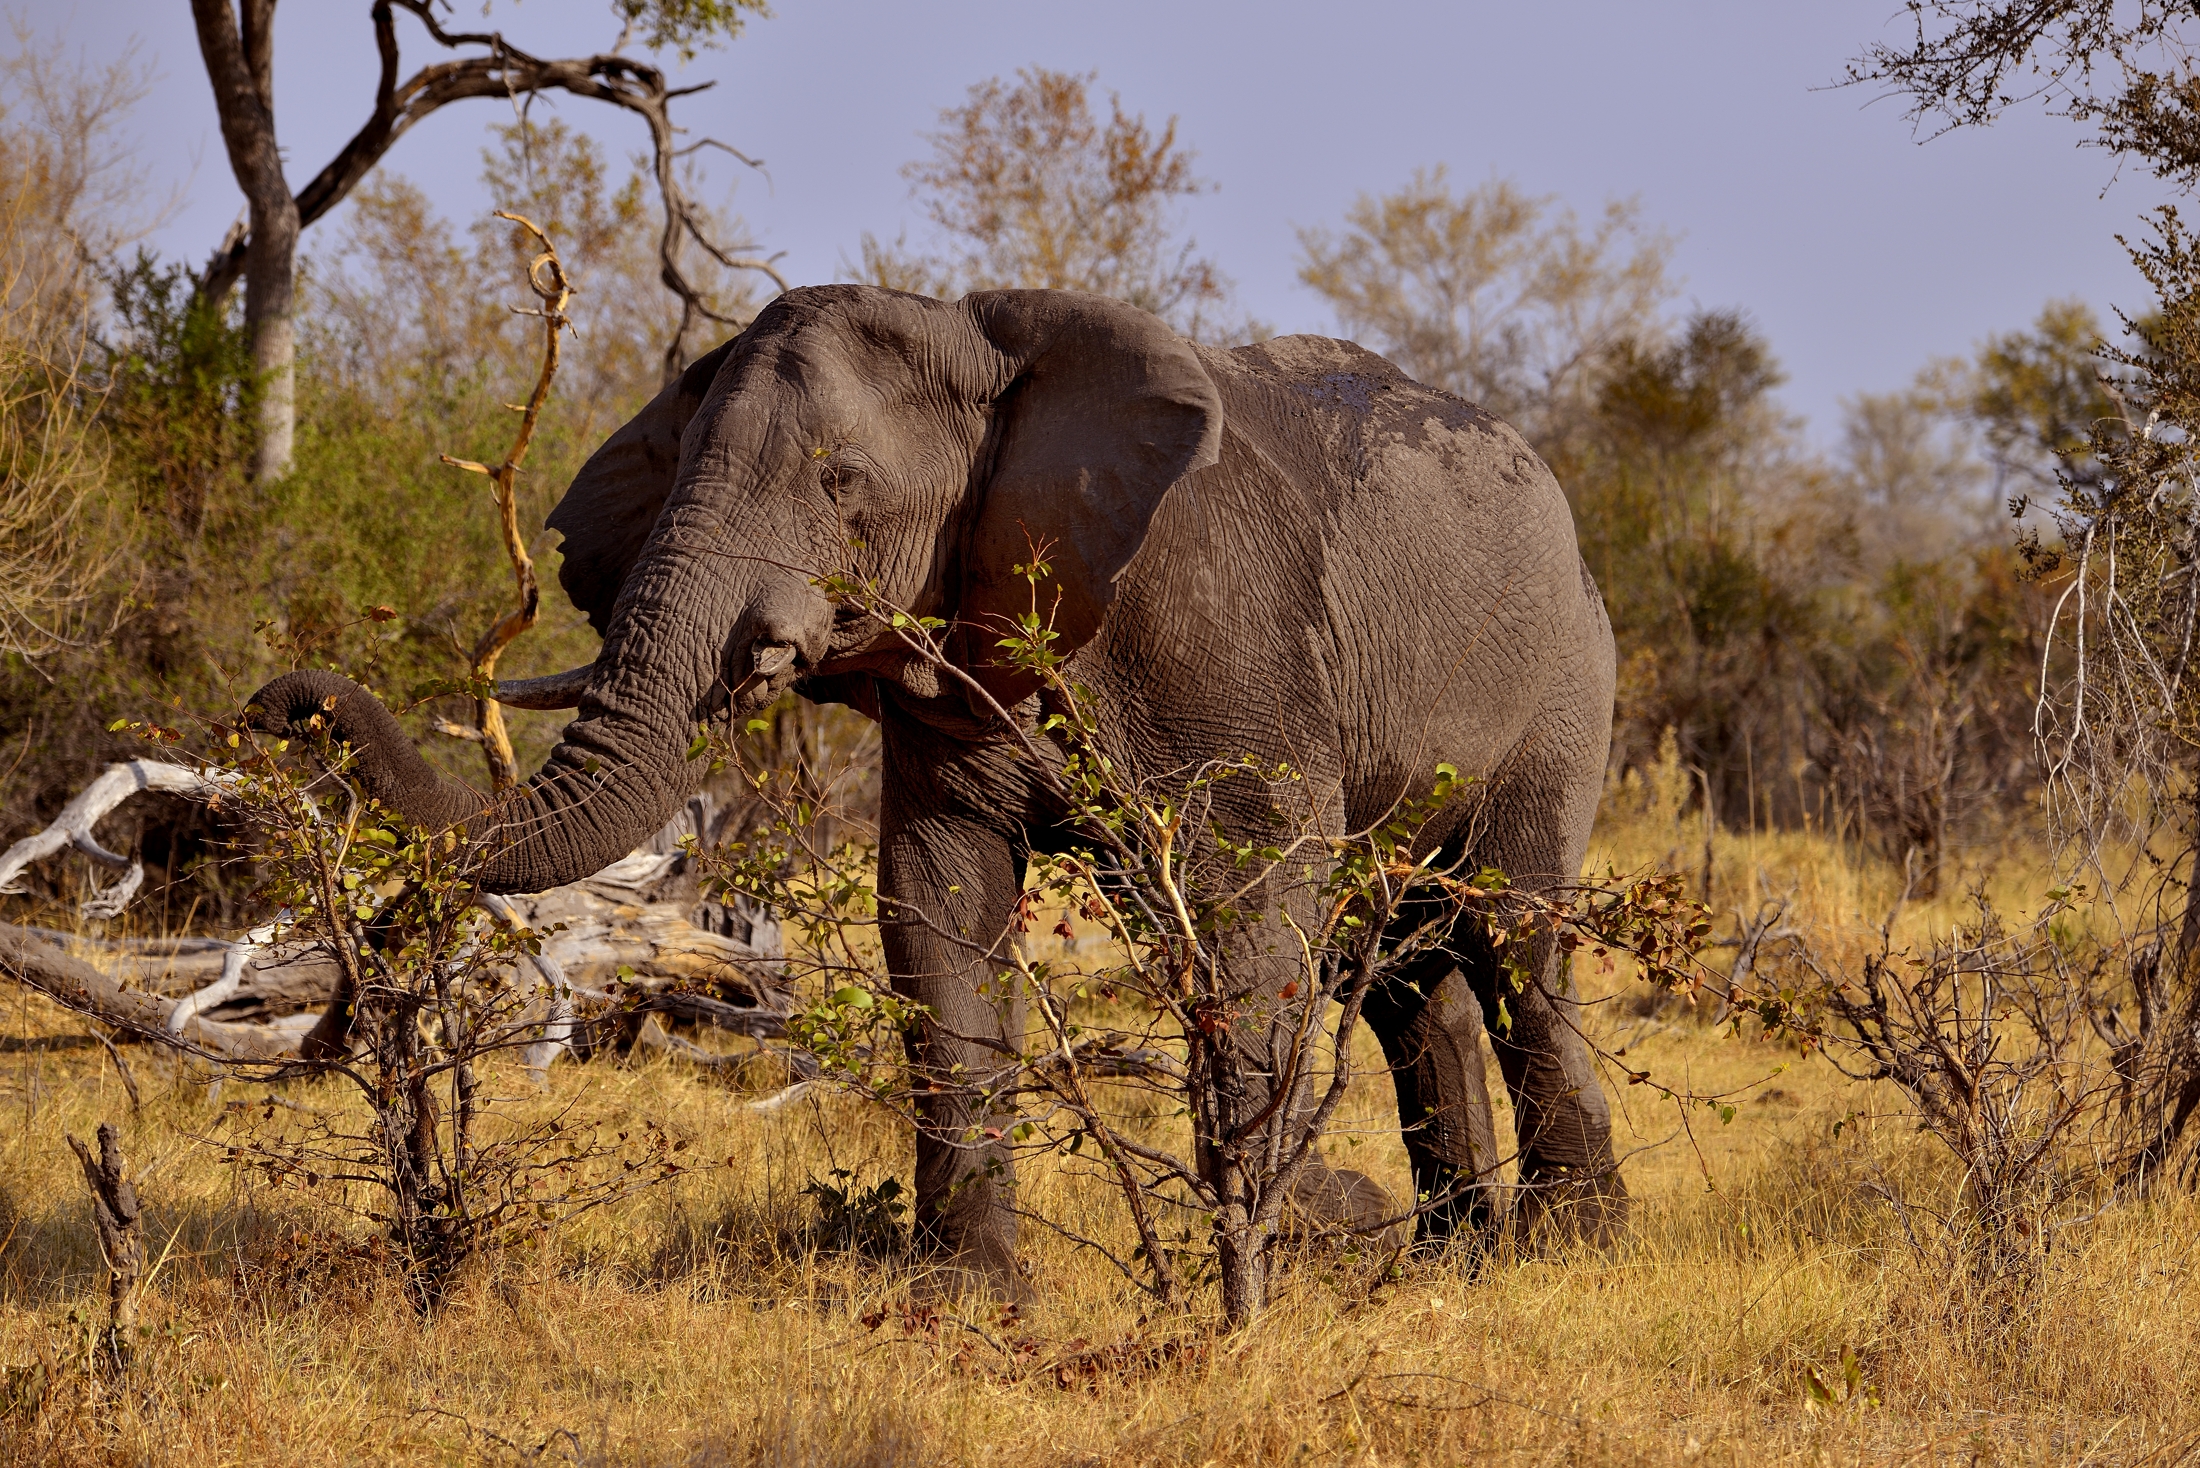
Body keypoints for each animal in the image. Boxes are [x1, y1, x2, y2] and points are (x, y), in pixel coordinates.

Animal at [247, 284, 1623, 1296]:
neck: (985, 348)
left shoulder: (1220, 629)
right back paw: (1447, 1257)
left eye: (841, 484)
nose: (274, 705)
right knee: (1404, 974)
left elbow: (1247, 900)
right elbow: (939, 906)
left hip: (1561, 683)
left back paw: (1562, 1250)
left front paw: (1281, 1256)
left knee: (1508, 933)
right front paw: (969, 1296)